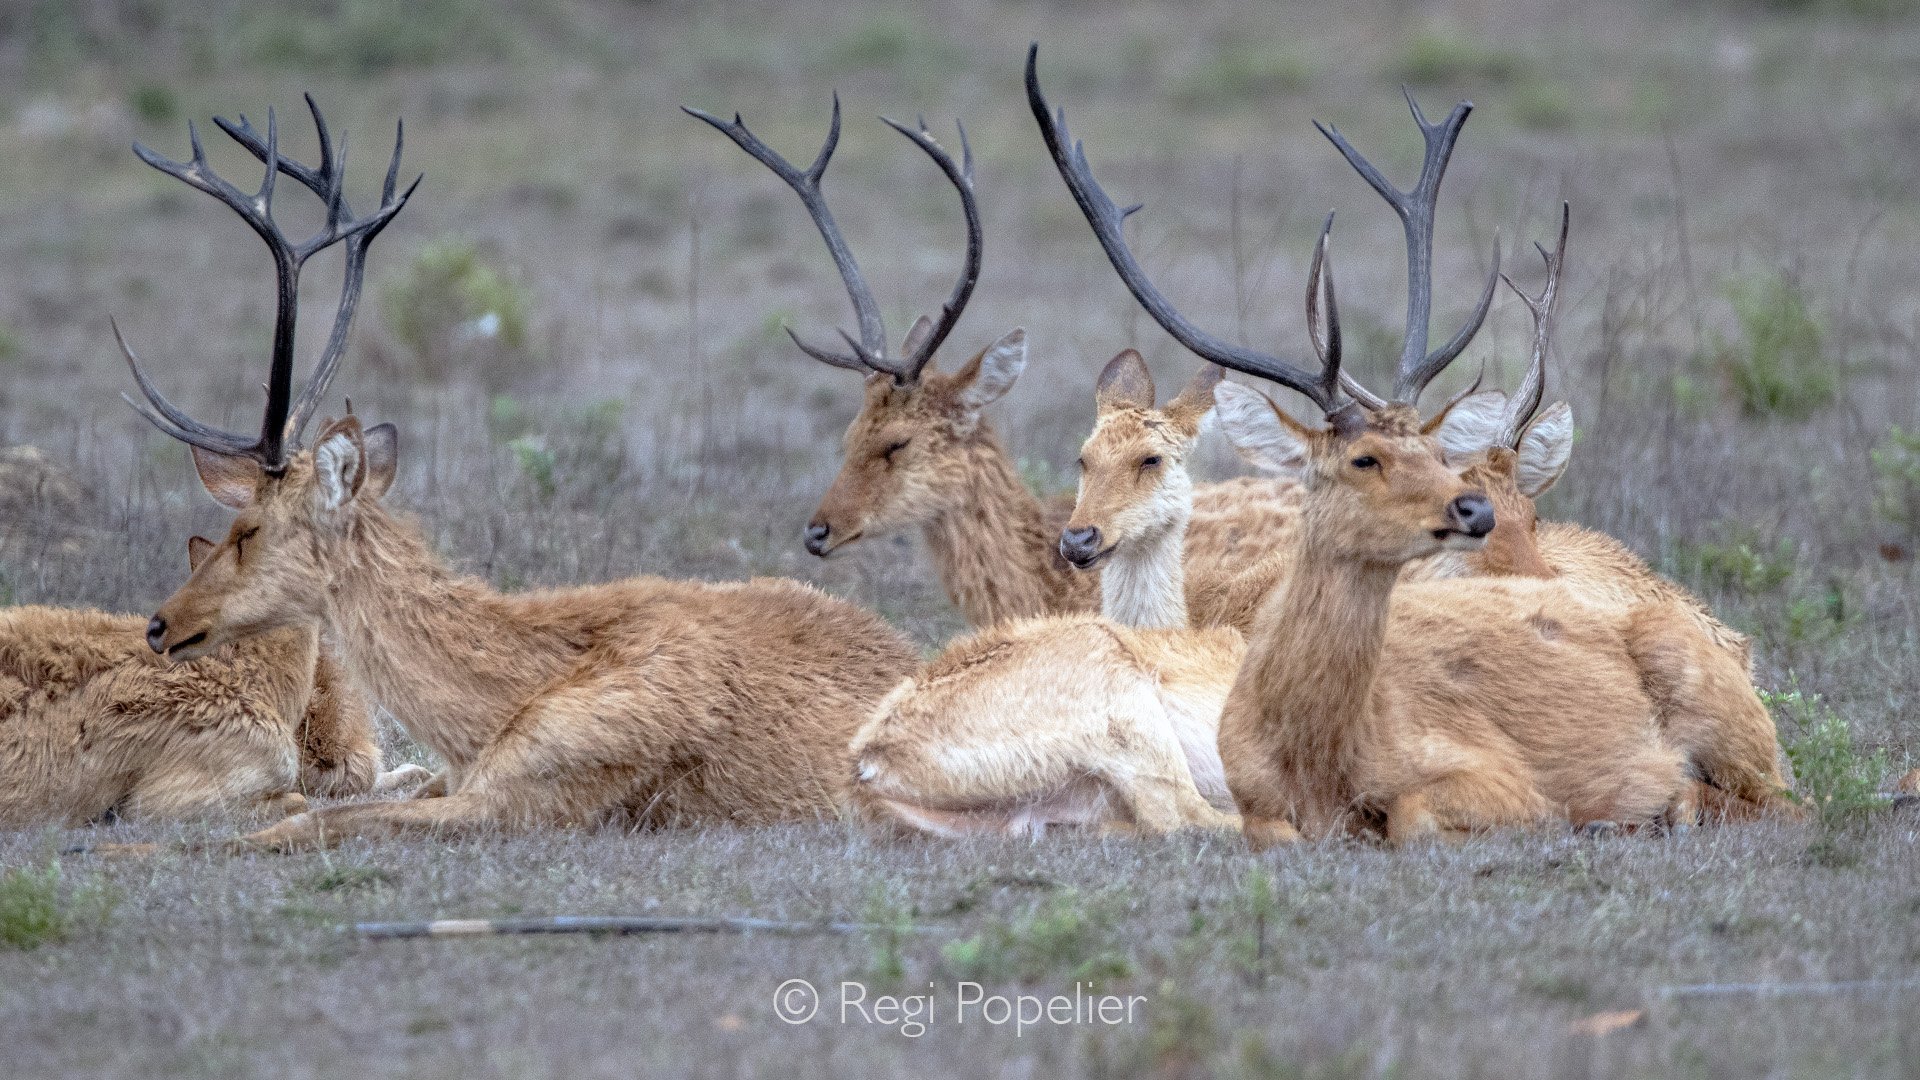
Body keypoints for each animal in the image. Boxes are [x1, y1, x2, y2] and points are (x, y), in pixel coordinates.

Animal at [114, 98, 919, 852]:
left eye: (247, 528)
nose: (159, 623)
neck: (491, 711)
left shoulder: (536, 796)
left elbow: (313, 821)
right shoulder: (453, 778)